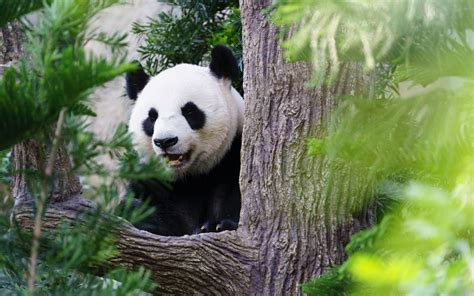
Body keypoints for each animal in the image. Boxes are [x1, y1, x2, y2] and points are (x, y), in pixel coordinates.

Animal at [124, 45, 243, 236]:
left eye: (189, 111)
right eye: (152, 117)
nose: (165, 141)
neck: (190, 176)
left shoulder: (232, 156)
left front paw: (216, 225)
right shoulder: (153, 179)